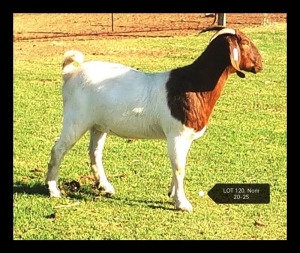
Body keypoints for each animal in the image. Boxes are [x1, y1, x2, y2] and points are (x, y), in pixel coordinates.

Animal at [46, 26, 262, 211]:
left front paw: (172, 194)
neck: (194, 85)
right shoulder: (177, 134)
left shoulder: (184, 138)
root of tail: (71, 72)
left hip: (98, 124)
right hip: (76, 119)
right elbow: (180, 168)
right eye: (245, 42)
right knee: (58, 149)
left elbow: (178, 165)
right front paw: (182, 203)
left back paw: (105, 186)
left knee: (94, 152)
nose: (260, 64)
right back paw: (53, 189)